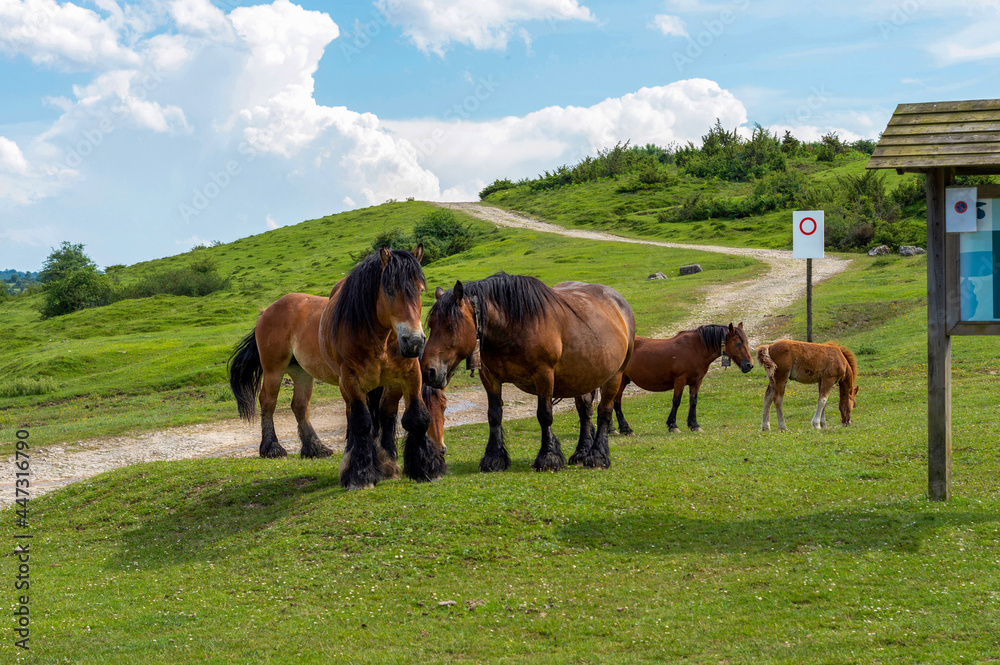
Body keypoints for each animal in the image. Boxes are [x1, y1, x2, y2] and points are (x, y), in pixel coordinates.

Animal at [228, 246, 446, 489]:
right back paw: (272, 448)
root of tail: (267, 311)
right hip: (274, 371)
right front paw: (360, 474)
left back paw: (315, 448)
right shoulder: (350, 380)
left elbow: (405, 416)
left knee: (300, 406)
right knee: (268, 402)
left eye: (420, 290)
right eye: (389, 290)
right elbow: (361, 422)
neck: (379, 337)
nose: (414, 342)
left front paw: (412, 467)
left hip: (302, 374)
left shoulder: (406, 376)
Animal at [421, 273, 635, 472]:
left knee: (604, 412)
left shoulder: (544, 374)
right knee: (585, 412)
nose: (429, 371)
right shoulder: (490, 378)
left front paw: (549, 457)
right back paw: (582, 452)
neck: (514, 326)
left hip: (614, 376)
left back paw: (597, 455)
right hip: (582, 379)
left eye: (451, 326)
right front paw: (494, 458)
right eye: (431, 325)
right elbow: (494, 415)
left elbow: (545, 415)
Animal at [610, 323, 755, 435]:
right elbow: (676, 401)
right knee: (616, 403)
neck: (695, 349)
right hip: (620, 381)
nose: (749, 365)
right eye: (738, 343)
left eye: (746, 342)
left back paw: (613, 429)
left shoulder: (696, 381)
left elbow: (693, 402)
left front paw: (694, 425)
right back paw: (626, 429)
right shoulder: (680, 380)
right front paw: (673, 425)